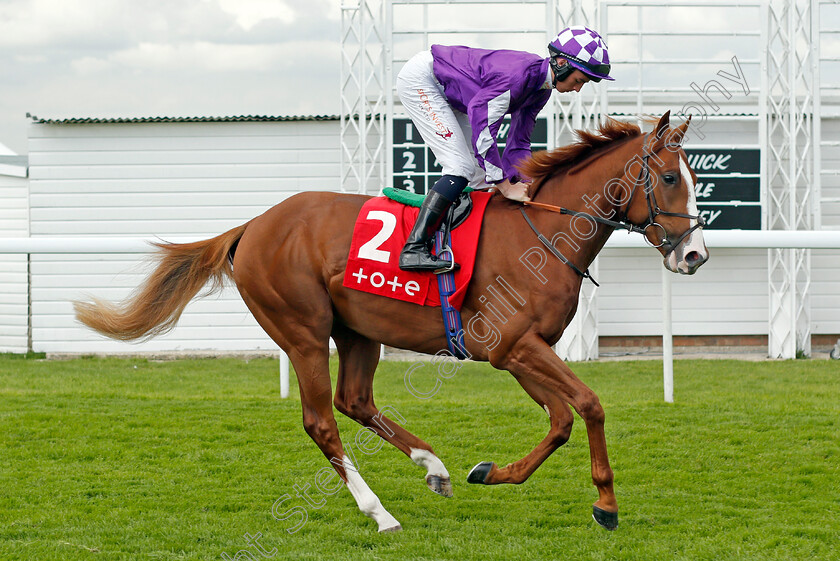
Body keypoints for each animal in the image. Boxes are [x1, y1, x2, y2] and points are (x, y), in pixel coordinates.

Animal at [77, 111, 708, 532]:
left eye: (694, 178)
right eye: (669, 179)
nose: (694, 254)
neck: (543, 232)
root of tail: (252, 226)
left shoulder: (520, 351)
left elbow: (560, 421)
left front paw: (489, 472)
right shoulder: (513, 346)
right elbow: (590, 406)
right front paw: (606, 504)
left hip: (358, 332)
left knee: (355, 401)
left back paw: (435, 466)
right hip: (302, 330)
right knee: (320, 420)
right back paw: (378, 512)